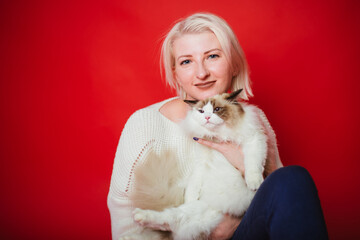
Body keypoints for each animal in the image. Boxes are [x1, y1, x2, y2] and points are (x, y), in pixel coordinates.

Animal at [122, 89, 268, 239]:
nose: (207, 117)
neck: (218, 136)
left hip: (203, 214)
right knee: (170, 219)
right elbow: (194, 184)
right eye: (201, 111)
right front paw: (191, 197)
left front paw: (254, 184)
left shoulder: (254, 141)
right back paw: (136, 222)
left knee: (171, 222)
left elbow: (252, 165)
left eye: (217, 109)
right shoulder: (201, 162)